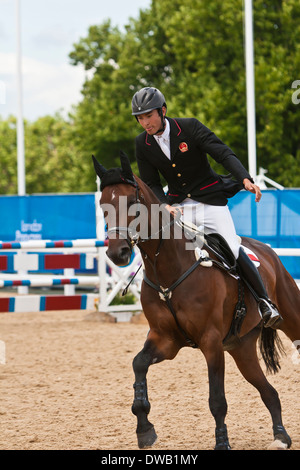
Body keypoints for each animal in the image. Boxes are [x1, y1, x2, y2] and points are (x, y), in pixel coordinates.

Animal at [94, 152, 300, 450]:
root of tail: (268, 251)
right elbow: (138, 365)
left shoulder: (210, 342)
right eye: (103, 205)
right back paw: (281, 436)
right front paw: (144, 429)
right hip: (241, 348)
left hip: (290, 320)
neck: (169, 271)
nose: (117, 253)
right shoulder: (165, 340)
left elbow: (217, 400)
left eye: (132, 203)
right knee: (269, 392)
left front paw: (222, 443)